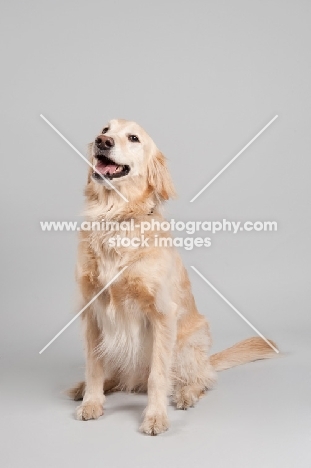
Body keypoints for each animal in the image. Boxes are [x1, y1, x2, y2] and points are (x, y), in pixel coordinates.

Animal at [69, 118, 278, 436]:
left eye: (133, 138)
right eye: (105, 129)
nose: (102, 141)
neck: (116, 217)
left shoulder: (161, 314)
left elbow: (158, 376)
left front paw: (155, 416)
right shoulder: (91, 311)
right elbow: (94, 366)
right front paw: (92, 402)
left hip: (189, 344)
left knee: (201, 378)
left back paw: (186, 394)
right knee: (116, 376)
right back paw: (88, 388)